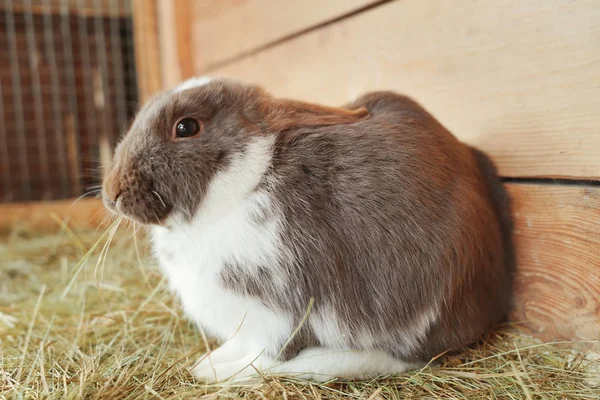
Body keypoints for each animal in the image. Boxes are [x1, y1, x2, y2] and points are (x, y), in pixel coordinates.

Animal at [103, 76, 516, 382]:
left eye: (186, 127)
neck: (250, 183)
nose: (111, 193)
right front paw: (213, 361)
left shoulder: (279, 313)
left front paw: (220, 373)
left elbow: (267, 356)